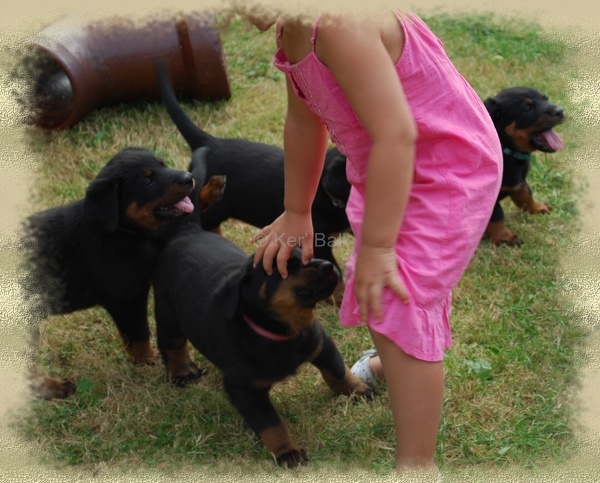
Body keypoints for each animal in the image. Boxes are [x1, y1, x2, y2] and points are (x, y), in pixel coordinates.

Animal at [21, 147, 226, 399]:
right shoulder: (127, 298)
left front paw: (211, 189)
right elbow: (139, 333)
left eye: (162, 164)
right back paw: (55, 387)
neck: (120, 230)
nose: (189, 178)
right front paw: (147, 359)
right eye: (148, 180)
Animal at [152, 149, 371, 467]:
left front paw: (359, 390)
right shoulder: (244, 388)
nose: (329, 266)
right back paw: (181, 372)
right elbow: (270, 423)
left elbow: (338, 373)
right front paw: (288, 452)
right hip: (167, 309)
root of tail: (187, 233)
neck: (285, 331)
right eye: (286, 264)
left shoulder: (322, 344)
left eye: (306, 254)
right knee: (172, 342)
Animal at [484, 87, 565, 246]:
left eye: (545, 98)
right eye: (527, 108)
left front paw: (537, 208)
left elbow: (526, 196)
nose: (560, 111)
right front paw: (505, 237)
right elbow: (497, 216)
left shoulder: (520, 182)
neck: (509, 151)